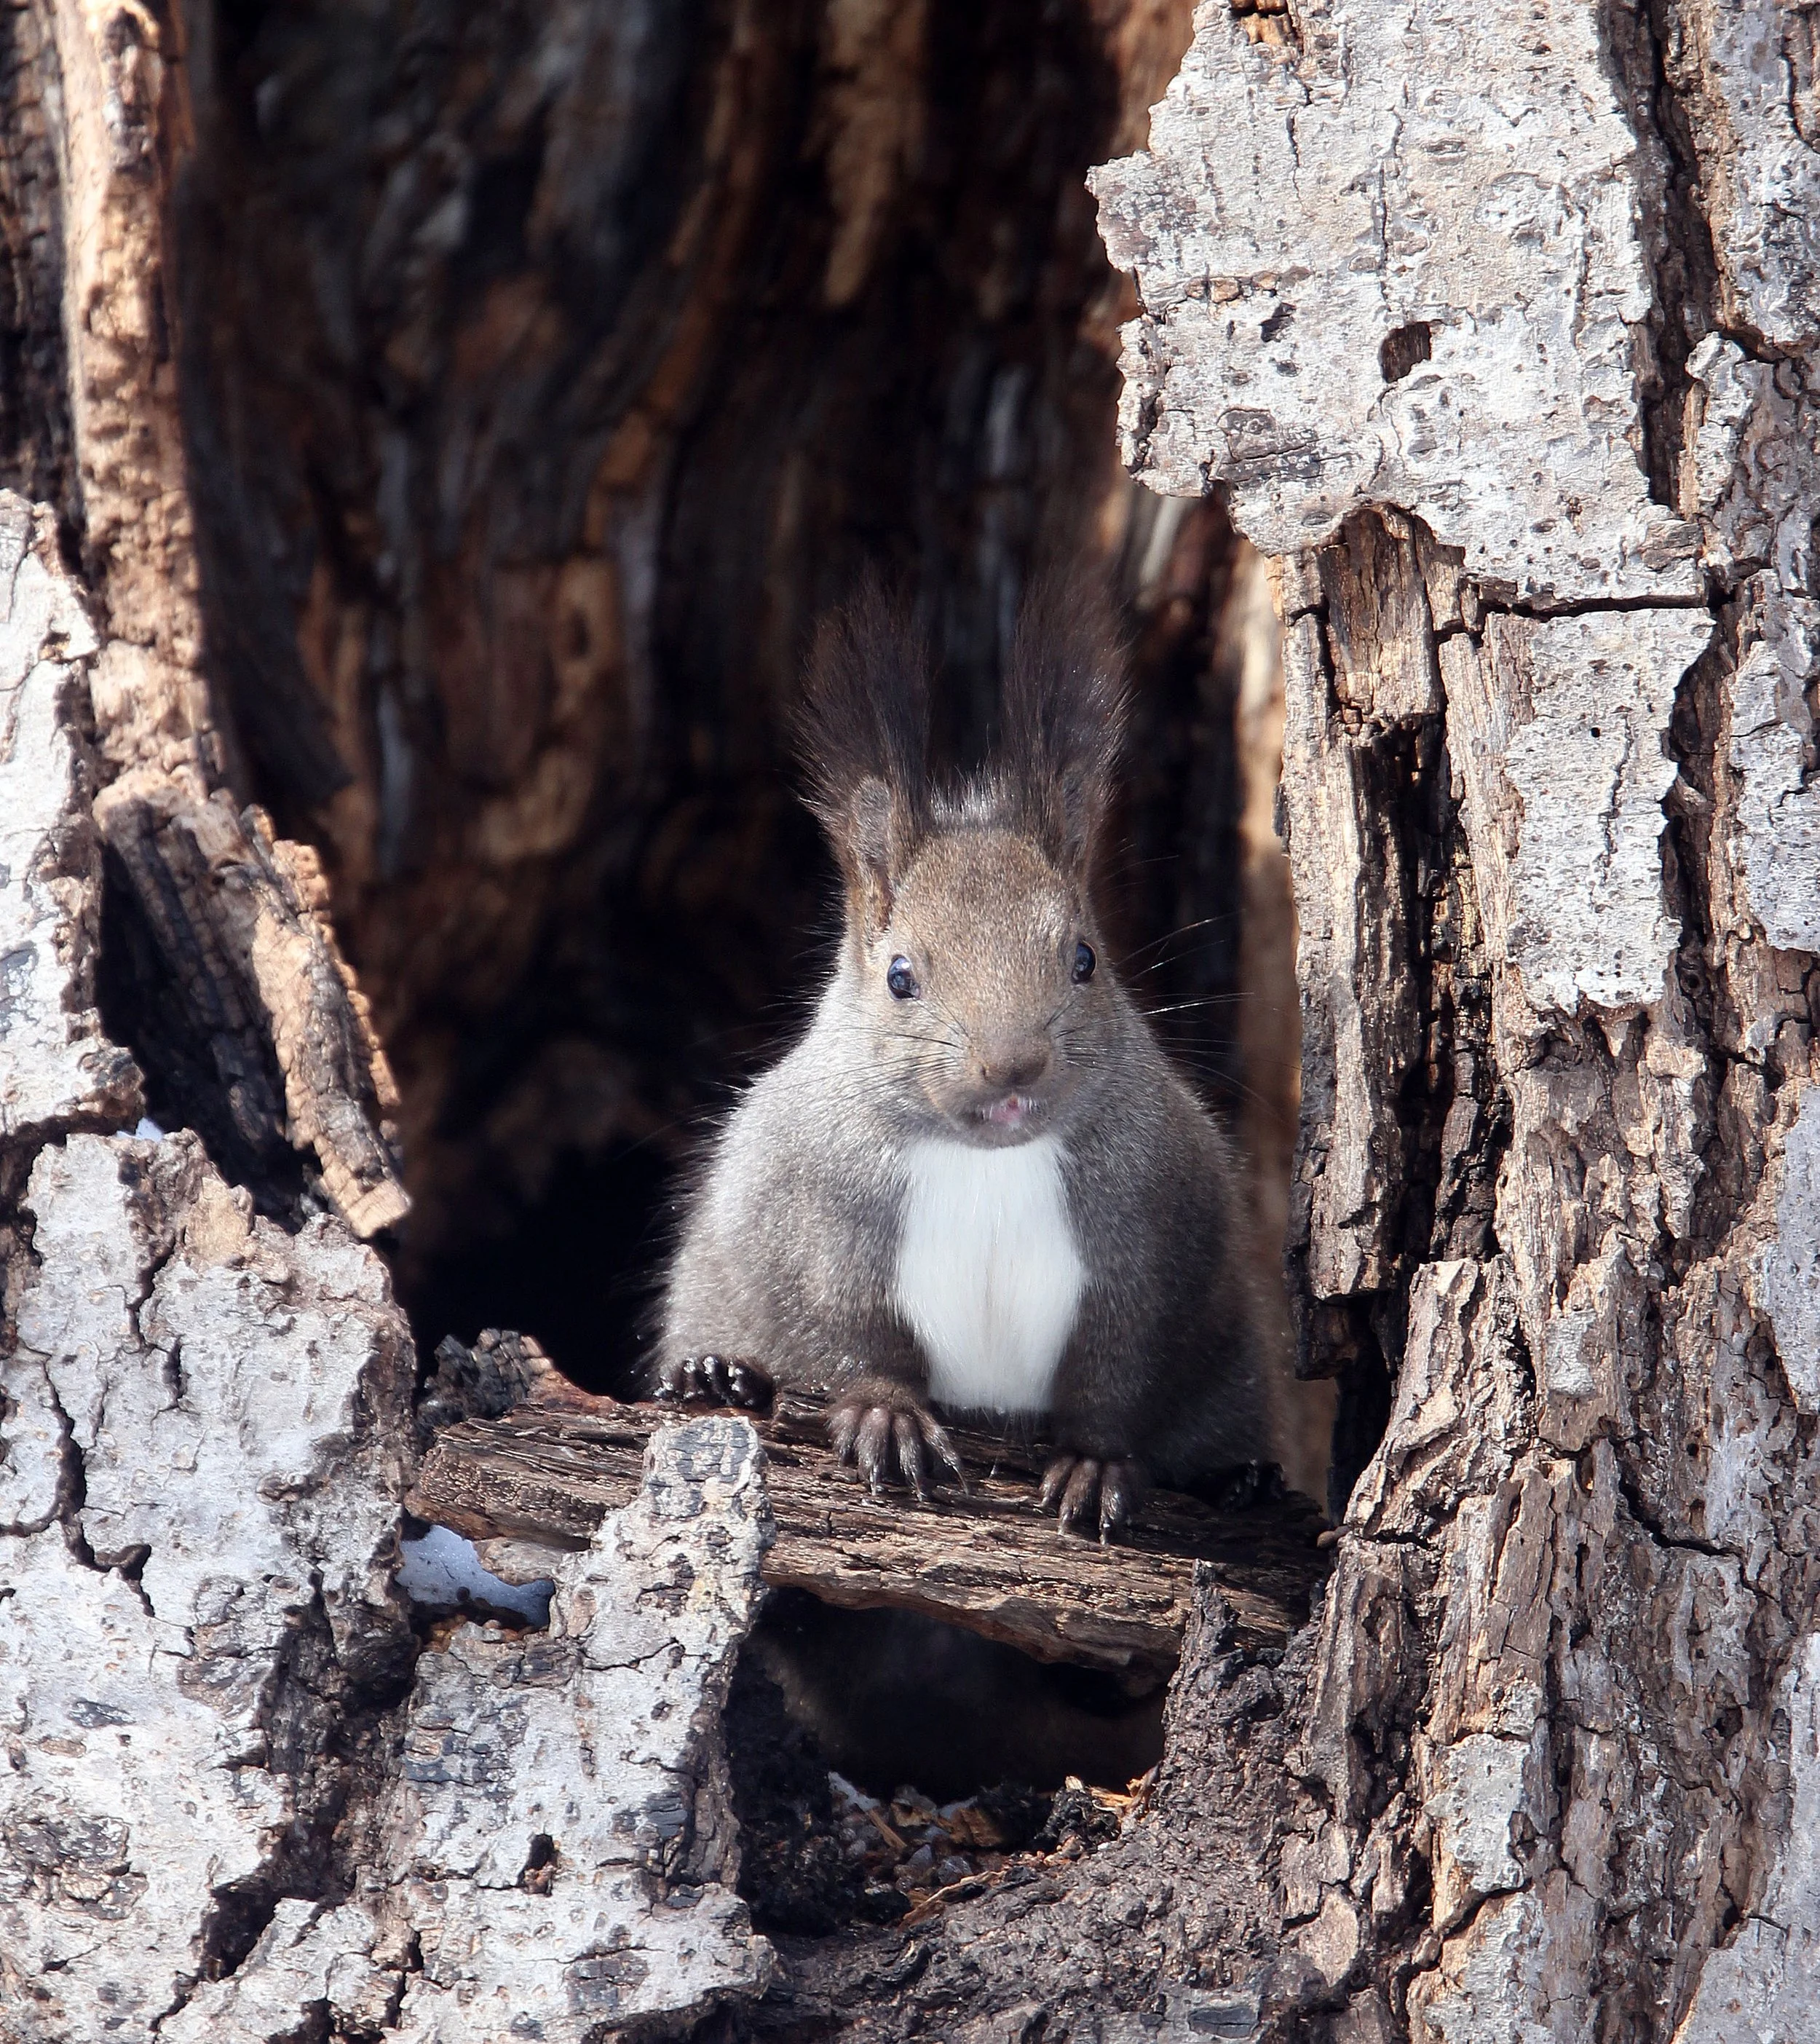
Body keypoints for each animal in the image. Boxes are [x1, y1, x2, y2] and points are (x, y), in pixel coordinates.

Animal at [656, 580, 1281, 1537]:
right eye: (899, 975)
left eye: (1085, 957)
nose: (1012, 1066)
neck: (988, 1161)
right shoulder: (808, 1214)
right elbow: (843, 1334)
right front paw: (886, 1417)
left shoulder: (1153, 1229)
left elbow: (1121, 1368)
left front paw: (1097, 1465)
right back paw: (716, 1375)